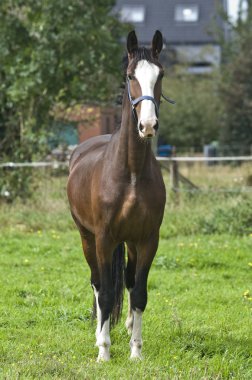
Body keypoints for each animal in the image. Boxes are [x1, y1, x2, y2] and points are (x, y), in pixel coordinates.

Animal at [67, 31, 167, 360]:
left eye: (160, 75)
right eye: (130, 76)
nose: (147, 125)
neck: (131, 172)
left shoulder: (147, 239)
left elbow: (139, 292)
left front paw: (136, 351)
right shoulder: (104, 238)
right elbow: (107, 293)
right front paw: (104, 352)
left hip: (130, 243)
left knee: (129, 280)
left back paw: (125, 327)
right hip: (87, 238)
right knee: (99, 284)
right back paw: (101, 335)